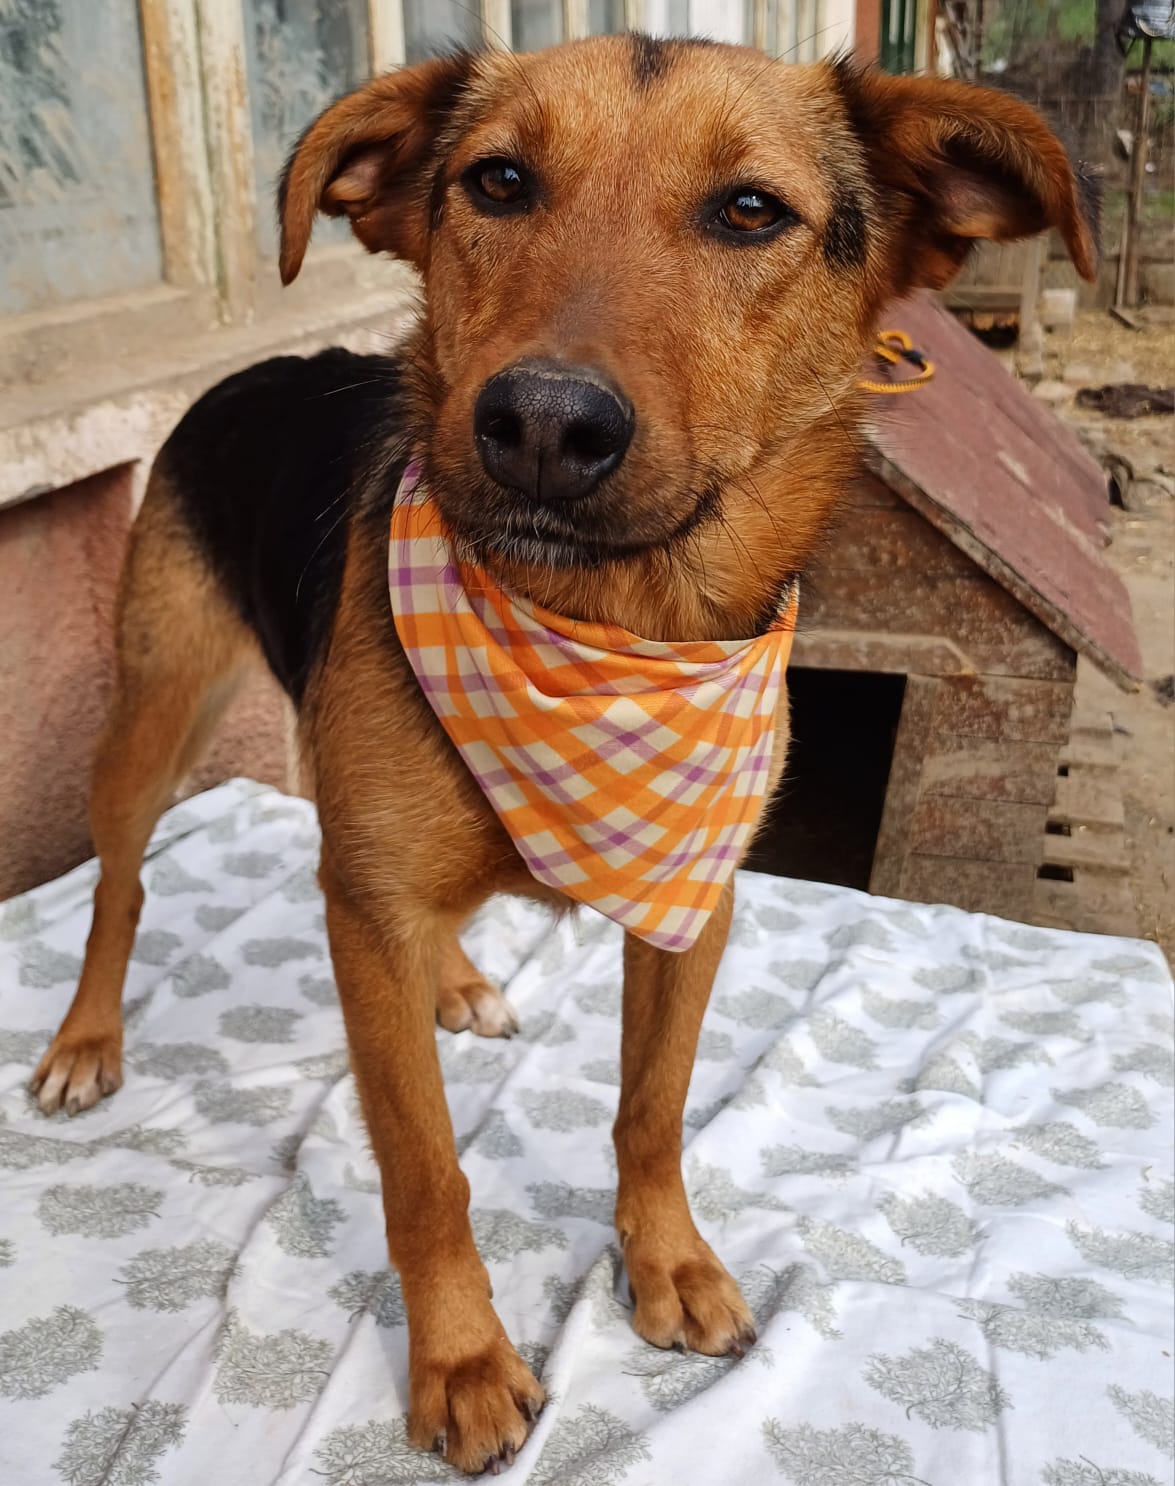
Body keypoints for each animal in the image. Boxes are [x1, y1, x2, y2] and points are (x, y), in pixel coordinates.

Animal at [31, 36, 1096, 1476]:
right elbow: (423, 1165)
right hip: (154, 710)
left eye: (749, 210)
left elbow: (652, 1107)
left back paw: (456, 979)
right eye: (496, 181)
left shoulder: (695, 896)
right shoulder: (368, 906)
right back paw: (88, 1038)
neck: (605, 632)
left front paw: (667, 1261)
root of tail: (250, 371)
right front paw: (462, 1358)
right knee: (123, 880)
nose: (540, 424)